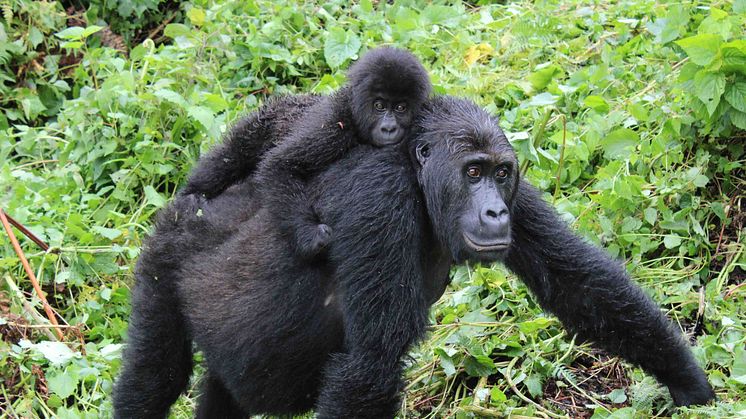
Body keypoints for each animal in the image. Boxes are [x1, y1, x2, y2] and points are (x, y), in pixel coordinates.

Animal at [113, 97, 712, 418]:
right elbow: (370, 365)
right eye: (472, 172)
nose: (495, 211)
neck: (417, 169)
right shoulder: (383, 200)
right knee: (155, 374)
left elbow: (579, 285)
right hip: (165, 252)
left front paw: (691, 385)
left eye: (499, 173)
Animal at [254, 48, 434, 260]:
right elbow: (281, 164)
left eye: (400, 108)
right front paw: (309, 235)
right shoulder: (334, 125)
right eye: (379, 106)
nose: (389, 128)